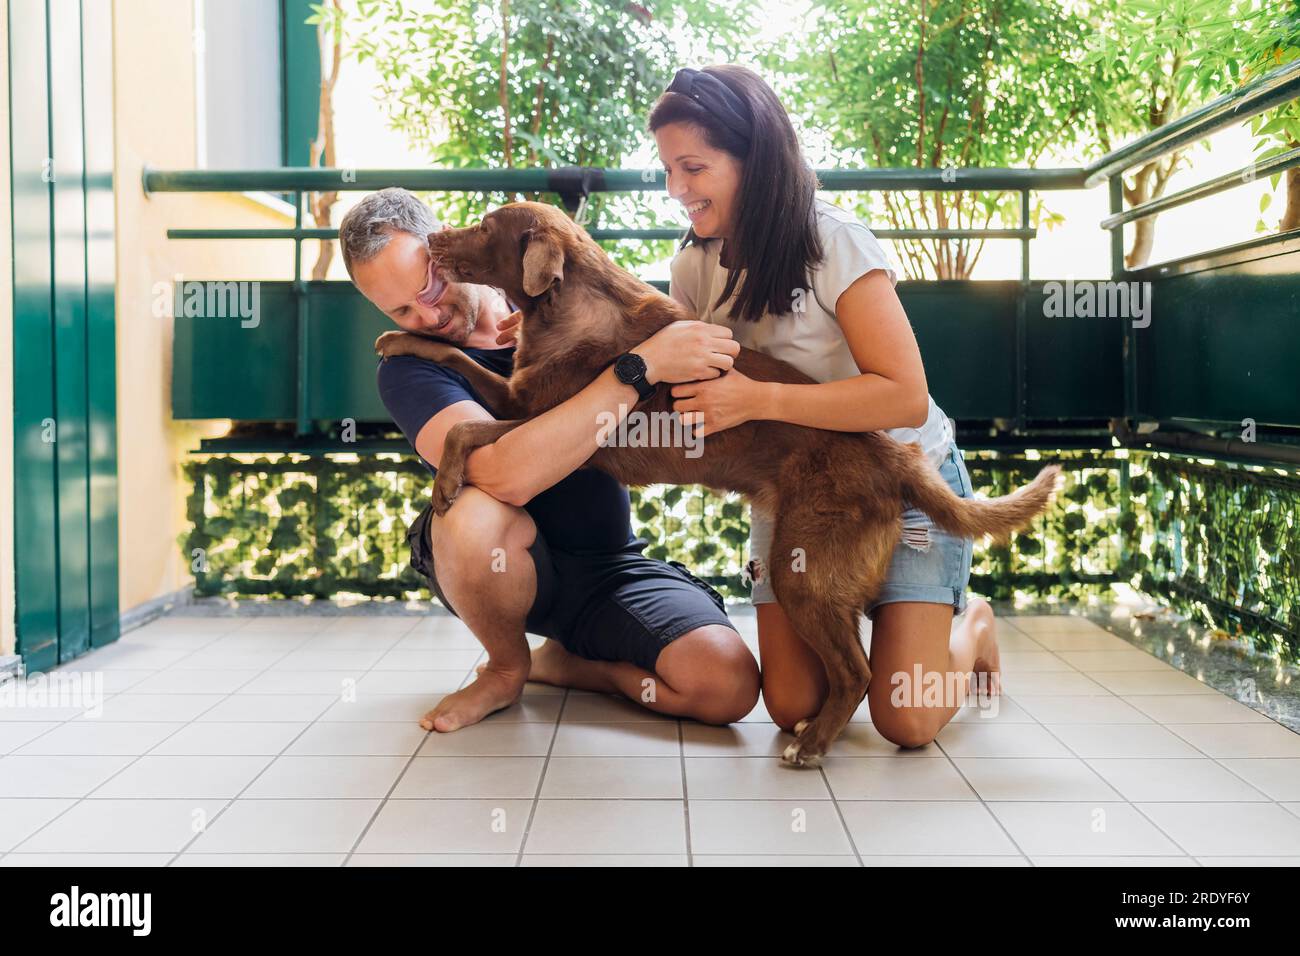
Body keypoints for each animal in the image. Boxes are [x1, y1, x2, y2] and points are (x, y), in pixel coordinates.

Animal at [374, 201, 1055, 770]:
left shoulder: (554, 427)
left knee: (859, 673)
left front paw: (447, 482)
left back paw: (811, 745)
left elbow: (468, 431)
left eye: (487, 226)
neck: (568, 309)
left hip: (802, 569)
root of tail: (896, 456)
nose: (432, 239)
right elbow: (455, 357)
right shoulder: (517, 400)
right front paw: (398, 338)